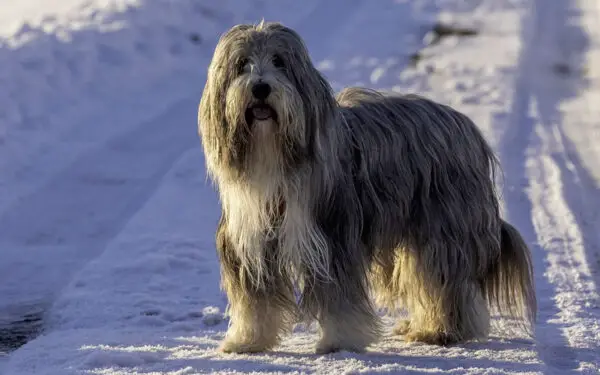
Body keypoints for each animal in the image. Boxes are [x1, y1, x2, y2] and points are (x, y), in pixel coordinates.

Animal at [199, 20, 536, 356]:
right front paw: (248, 340)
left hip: (443, 227)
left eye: (279, 62)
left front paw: (339, 341)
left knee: (446, 281)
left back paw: (442, 330)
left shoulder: (332, 237)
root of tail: (468, 129)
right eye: (242, 64)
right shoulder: (251, 242)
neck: (273, 156)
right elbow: (255, 302)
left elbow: (340, 299)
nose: (260, 87)